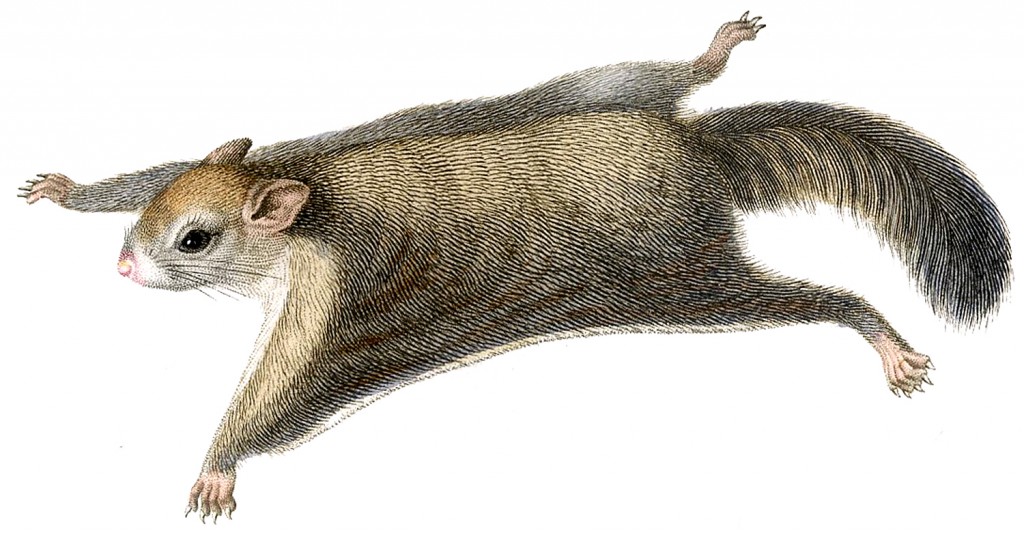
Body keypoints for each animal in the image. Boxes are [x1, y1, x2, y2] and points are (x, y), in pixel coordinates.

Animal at [19, 11, 1011, 524]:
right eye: (156, 217)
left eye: (195, 240)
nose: (124, 267)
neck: (306, 196)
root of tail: (698, 157)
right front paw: (66, 190)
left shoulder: (334, 286)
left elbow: (284, 381)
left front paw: (219, 463)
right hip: (614, 116)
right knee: (653, 77)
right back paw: (710, 53)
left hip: (680, 273)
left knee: (814, 295)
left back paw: (882, 337)